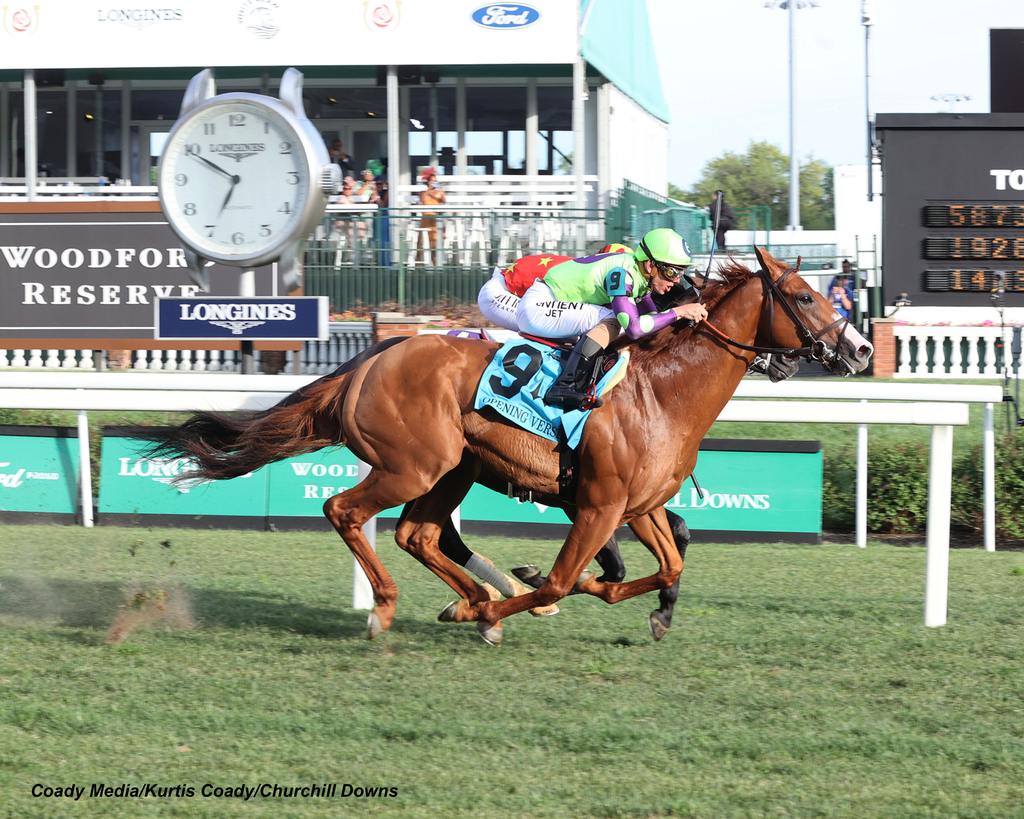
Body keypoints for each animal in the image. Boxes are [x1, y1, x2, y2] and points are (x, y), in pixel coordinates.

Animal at [149, 246, 872, 642]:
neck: (661, 392)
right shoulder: (600, 506)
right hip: (413, 465)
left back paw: (472, 600)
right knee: (345, 511)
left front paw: (649, 612)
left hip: (451, 469)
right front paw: (511, 600)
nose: (862, 349)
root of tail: (368, 361)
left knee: (418, 534)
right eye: (805, 295)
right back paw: (396, 608)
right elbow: (560, 579)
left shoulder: (637, 506)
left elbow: (668, 565)